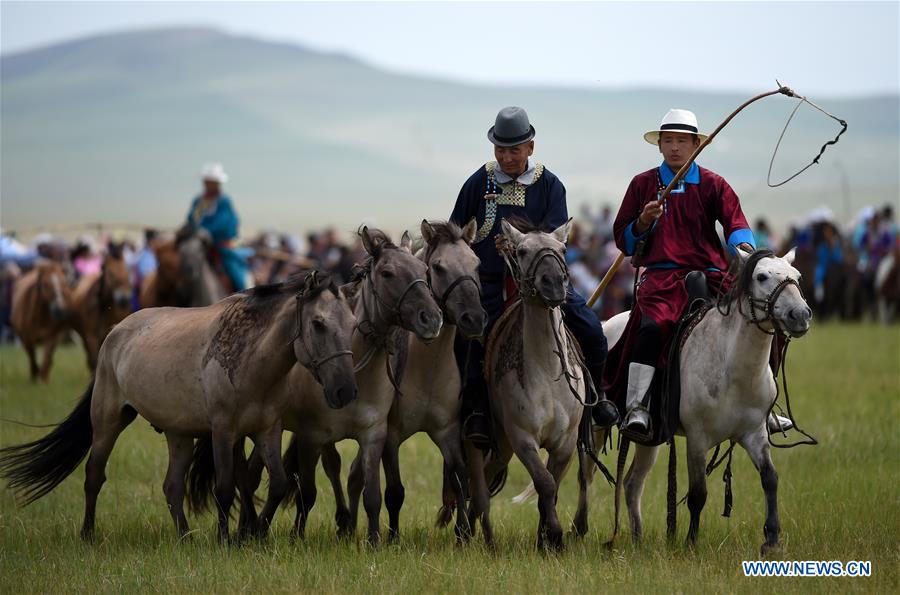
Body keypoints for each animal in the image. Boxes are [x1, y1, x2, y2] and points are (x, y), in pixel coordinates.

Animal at [0, 272, 358, 544]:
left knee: (172, 486)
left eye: (352, 323)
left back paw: (185, 536)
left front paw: (254, 532)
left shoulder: (266, 429)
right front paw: (226, 540)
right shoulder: (223, 431)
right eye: (318, 324)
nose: (345, 390)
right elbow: (225, 487)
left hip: (178, 434)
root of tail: (115, 332)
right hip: (108, 421)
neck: (251, 358)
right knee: (94, 475)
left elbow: (278, 484)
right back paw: (88, 534)